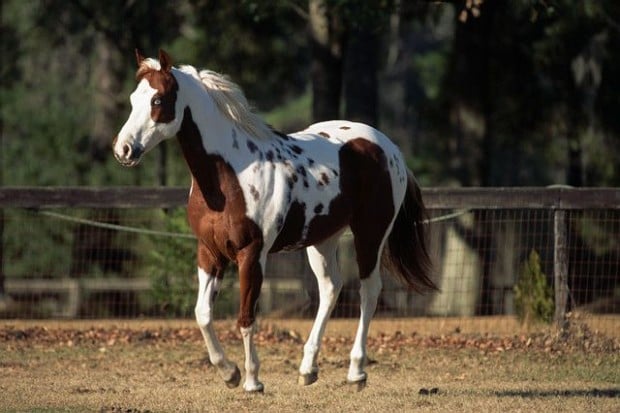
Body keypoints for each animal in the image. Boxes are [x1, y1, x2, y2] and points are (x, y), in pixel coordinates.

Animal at [112, 50, 436, 392]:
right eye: (133, 99)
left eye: (158, 99)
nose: (123, 149)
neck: (231, 176)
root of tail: (390, 148)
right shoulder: (209, 252)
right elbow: (202, 314)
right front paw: (229, 372)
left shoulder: (252, 254)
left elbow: (246, 318)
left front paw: (253, 380)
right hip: (322, 240)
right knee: (330, 289)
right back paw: (308, 369)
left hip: (370, 234)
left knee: (368, 291)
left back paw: (356, 372)